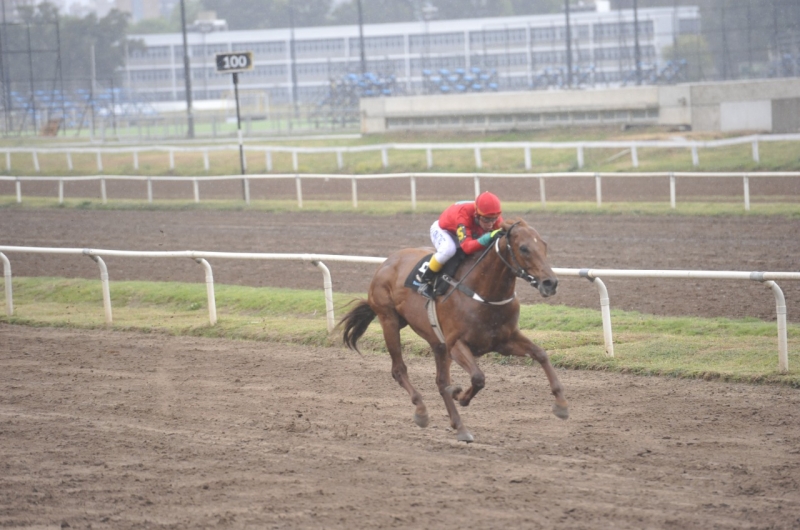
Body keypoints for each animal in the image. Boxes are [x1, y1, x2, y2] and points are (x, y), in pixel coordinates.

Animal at [340, 217, 568, 440]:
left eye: (544, 245)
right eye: (524, 248)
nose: (551, 283)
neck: (483, 293)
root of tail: (388, 261)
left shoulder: (504, 340)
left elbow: (541, 354)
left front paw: (562, 405)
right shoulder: (456, 344)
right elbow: (478, 378)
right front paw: (460, 395)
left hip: (435, 341)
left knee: (441, 382)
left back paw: (460, 427)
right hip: (389, 320)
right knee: (399, 370)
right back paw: (422, 411)